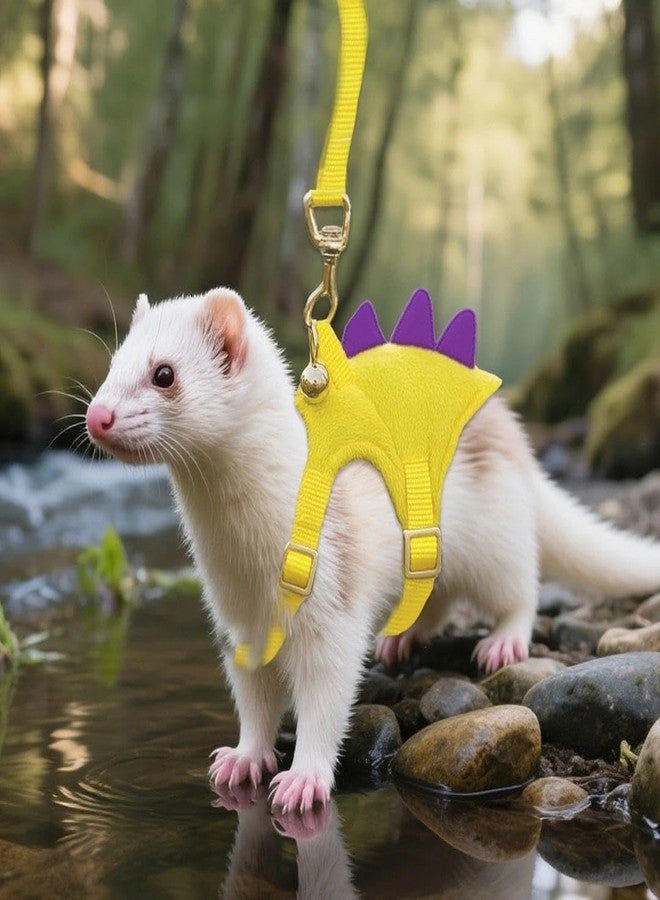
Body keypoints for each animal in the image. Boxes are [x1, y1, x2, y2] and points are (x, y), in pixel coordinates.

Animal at [86, 287, 660, 813]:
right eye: (111, 364)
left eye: (164, 373)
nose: (97, 416)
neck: (245, 561)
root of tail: (510, 431)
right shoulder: (236, 623)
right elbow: (253, 699)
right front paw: (244, 759)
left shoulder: (333, 607)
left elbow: (325, 697)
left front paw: (304, 779)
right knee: (437, 596)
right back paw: (401, 640)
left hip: (496, 538)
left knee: (520, 588)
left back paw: (503, 642)